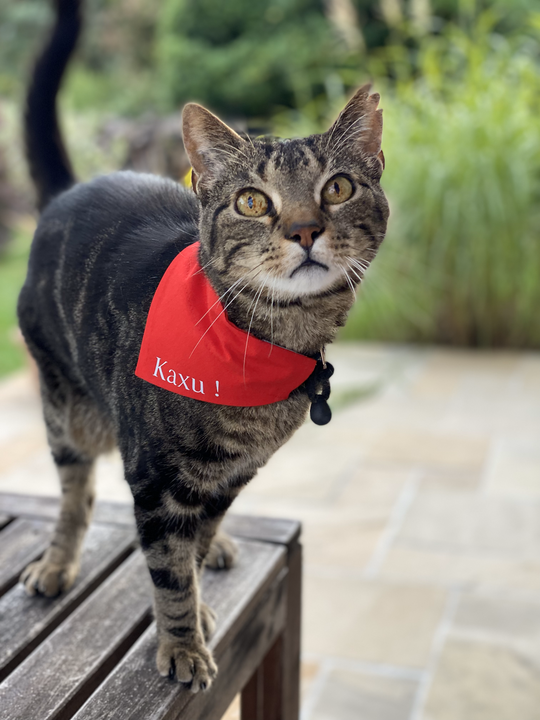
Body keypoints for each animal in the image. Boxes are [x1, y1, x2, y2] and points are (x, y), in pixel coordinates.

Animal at [16, 0, 388, 692]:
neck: (266, 348)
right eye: (252, 201)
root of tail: (70, 189)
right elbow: (167, 567)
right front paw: (183, 644)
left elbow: (195, 540)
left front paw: (200, 584)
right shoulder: (154, 478)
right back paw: (56, 562)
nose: (304, 230)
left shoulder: (234, 474)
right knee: (76, 495)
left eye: (338, 188)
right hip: (64, 408)